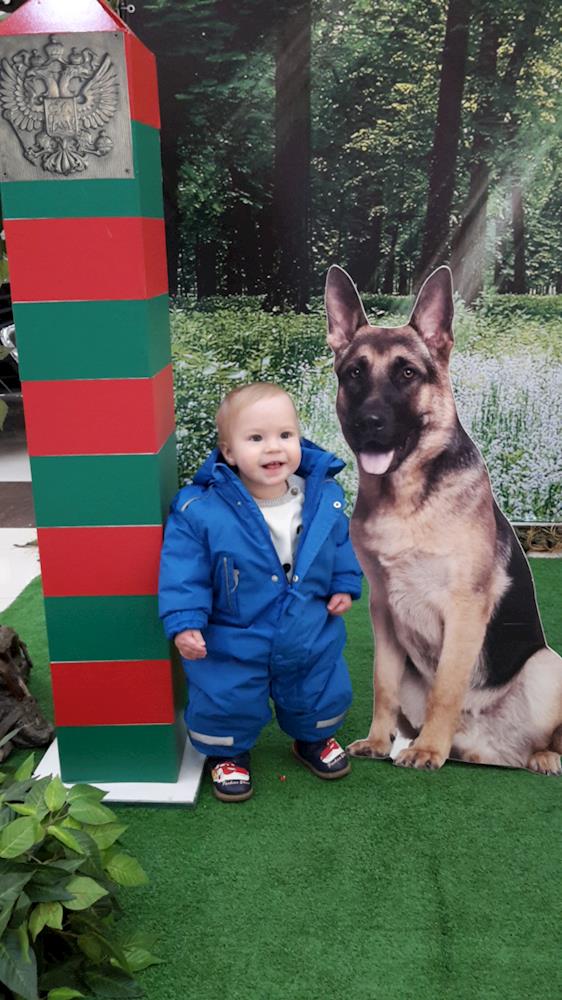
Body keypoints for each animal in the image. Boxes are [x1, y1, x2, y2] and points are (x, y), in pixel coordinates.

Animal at [325, 264, 562, 774]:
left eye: (407, 373)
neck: (406, 498)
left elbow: (447, 689)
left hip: (547, 665)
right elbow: (383, 684)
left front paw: (429, 749)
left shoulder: (464, 609)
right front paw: (380, 740)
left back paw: (537, 757)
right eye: (354, 373)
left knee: (549, 736)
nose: (369, 422)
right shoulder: (383, 611)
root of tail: (496, 754)